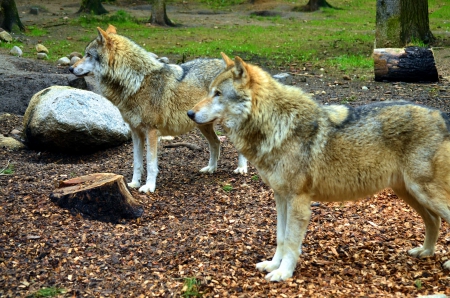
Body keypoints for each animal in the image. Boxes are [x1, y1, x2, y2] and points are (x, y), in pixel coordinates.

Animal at [68, 25, 248, 193]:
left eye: (88, 55)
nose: (70, 69)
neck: (136, 82)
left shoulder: (152, 131)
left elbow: (150, 163)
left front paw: (148, 187)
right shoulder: (135, 132)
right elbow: (137, 162)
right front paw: (134, 184)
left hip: (227, 124)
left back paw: (241, 168)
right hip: (202, 125)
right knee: (216, 143)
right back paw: (211, 168)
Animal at [187, 53, 450, 282]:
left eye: (218, 94)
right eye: (209, 91)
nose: (189, 113)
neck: (276, 125)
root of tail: (441, 114)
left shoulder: (298, 201)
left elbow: (291, 242)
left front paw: (283, 274)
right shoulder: (280, 198)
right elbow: (280, 237)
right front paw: (273, 265)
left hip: (424, 193)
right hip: (409, 193)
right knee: (434, 221)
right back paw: (425, 252)